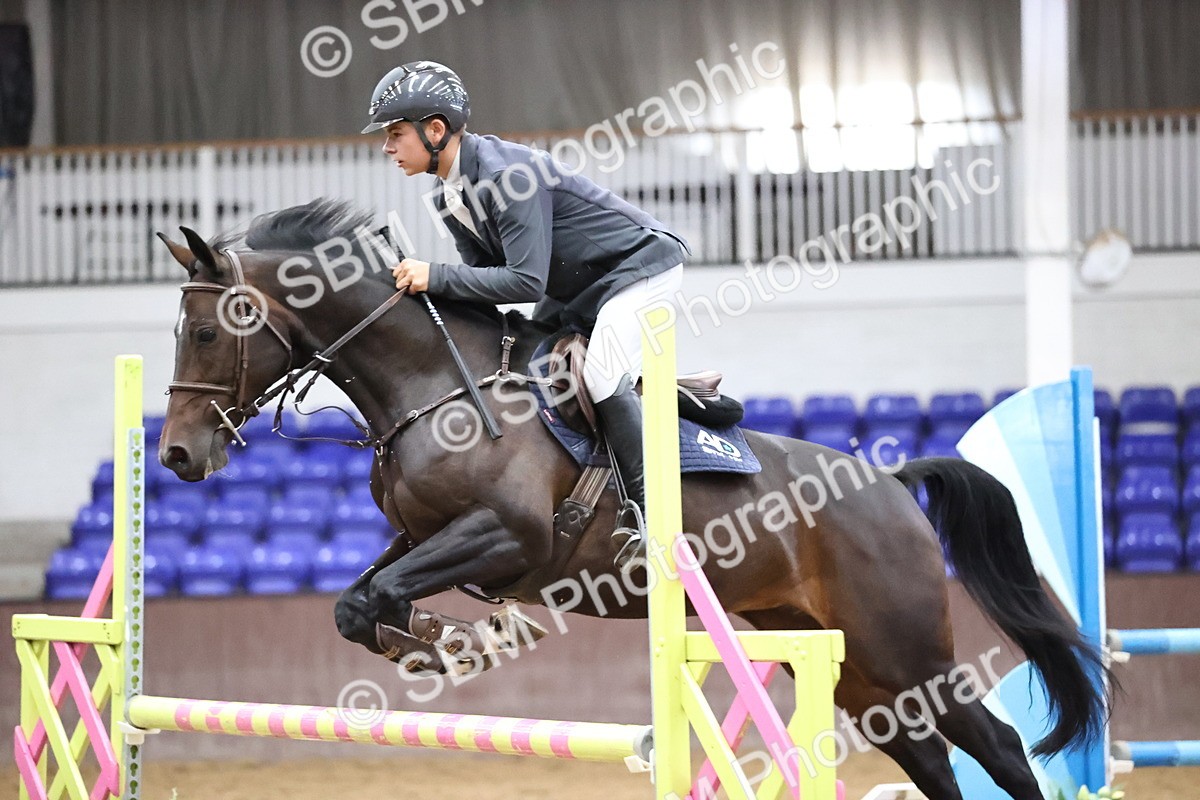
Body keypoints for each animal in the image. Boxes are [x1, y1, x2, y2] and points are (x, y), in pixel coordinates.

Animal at [155, 199, 1106, 800]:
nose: (176, 455)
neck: (435, 385)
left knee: (1000, 749)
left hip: (904, 647)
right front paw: (434, 643)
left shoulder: (510, 537)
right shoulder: (423, 535)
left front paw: (451, 643)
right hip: (853, 667)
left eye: (204, 331)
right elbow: (357, 602)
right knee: (934, 759)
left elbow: (382, 595)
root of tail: (893, 487)